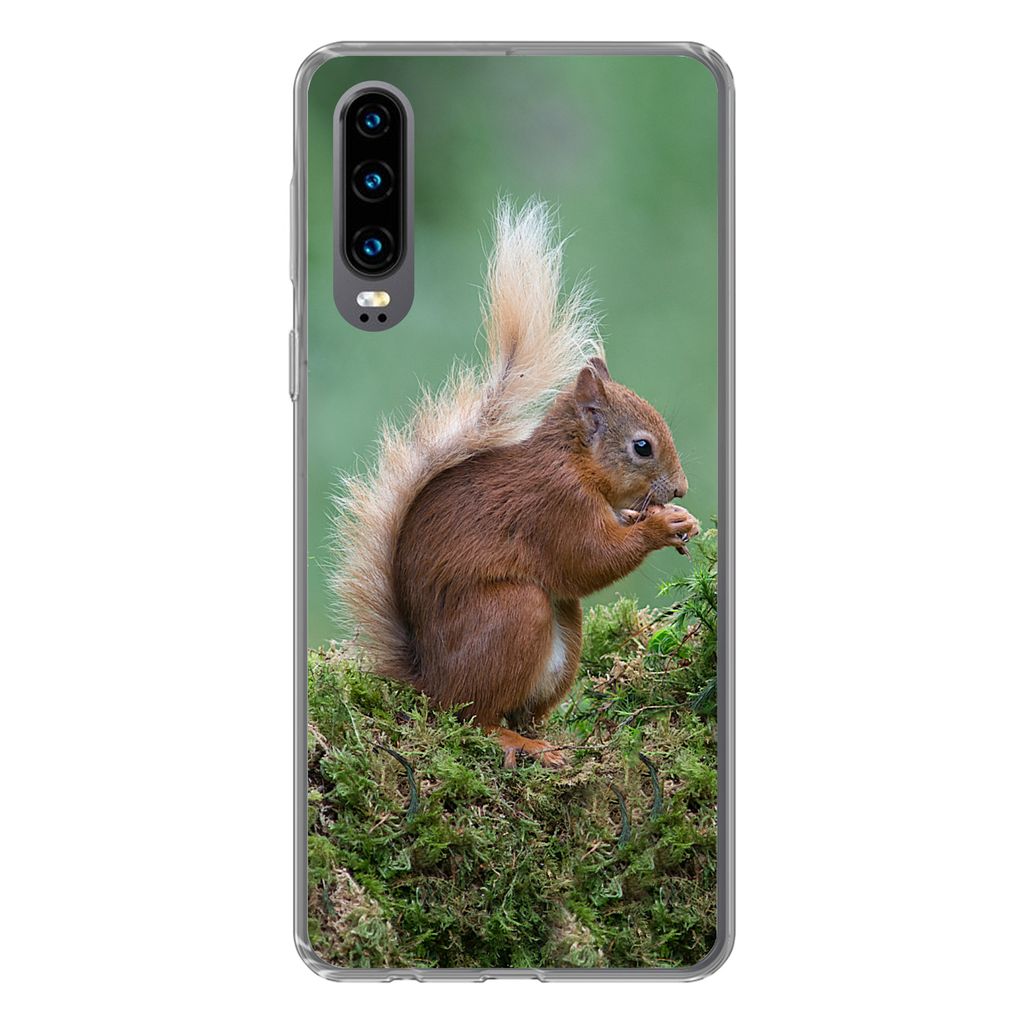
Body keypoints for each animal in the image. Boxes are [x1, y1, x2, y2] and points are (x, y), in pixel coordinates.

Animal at [333, 201, 698, 767]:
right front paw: (659, 527)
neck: (574, 462)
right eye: (643, 447)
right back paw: (517, 743)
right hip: (512, 614)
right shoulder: (555, 504)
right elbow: (588, 559)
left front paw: (678, 521)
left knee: (520, 707)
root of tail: (429, 682)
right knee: (475, 717)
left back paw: (548, 738)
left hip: (564, 636)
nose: (679, 490)